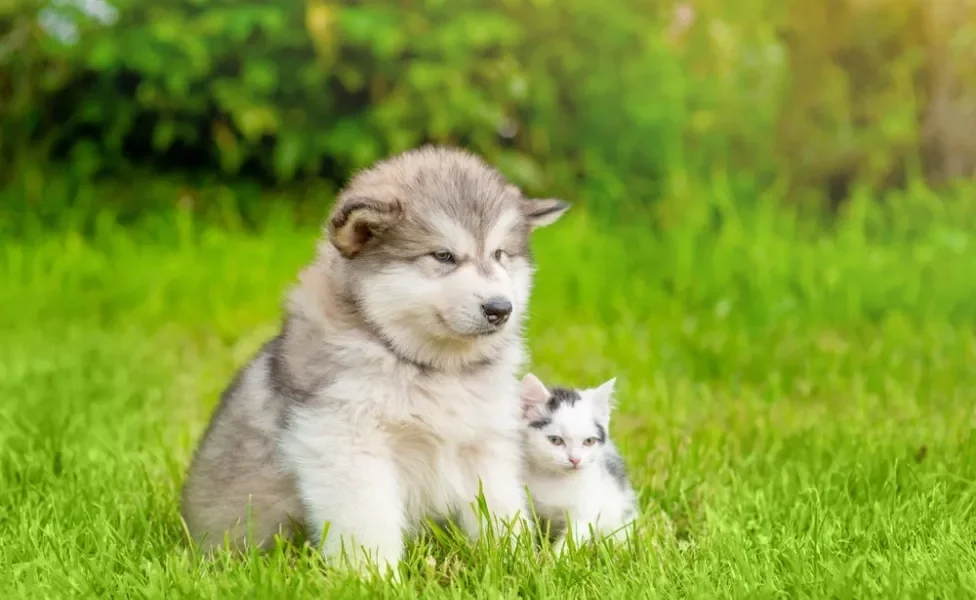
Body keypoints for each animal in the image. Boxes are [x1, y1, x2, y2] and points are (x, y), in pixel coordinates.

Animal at [179, 143, 568, 576]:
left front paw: (515, 562)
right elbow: (368, 522)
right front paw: (374, 577)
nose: (501, 309)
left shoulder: (485, 443)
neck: (428, 366)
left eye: (500, 254)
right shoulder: (346, 441)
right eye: (443, 255)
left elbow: (500, 508)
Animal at [520, 372, 640, 552]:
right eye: (555, 440)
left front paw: (556, 558)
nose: (575, 459)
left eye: (589, 441)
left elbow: (572, 538)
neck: (554, 478)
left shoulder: (586, 509)